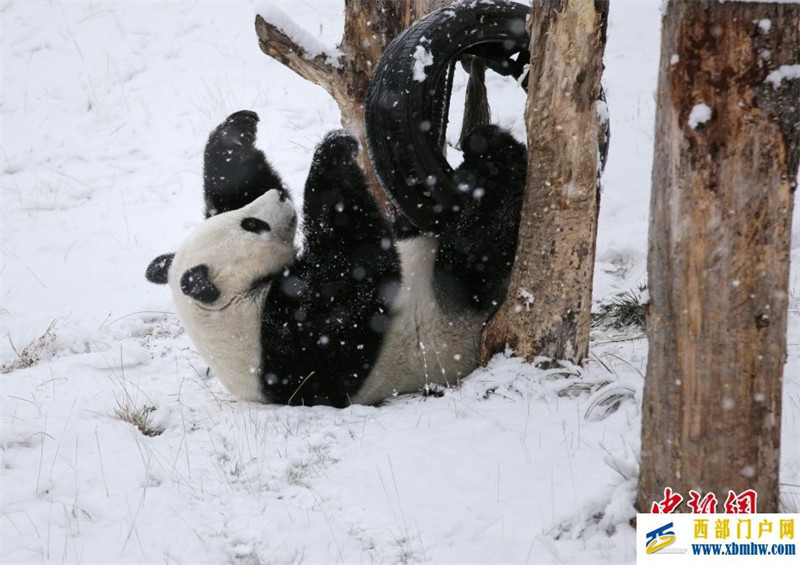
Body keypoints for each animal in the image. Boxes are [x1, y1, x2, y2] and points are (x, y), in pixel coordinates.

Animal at [147, 110, 528, 404]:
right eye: (251, 224)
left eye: (243, 215)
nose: (278, 197)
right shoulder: (290, 345)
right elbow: (357, 269)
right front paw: (334, 151)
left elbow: (234, 186)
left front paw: (236, 134)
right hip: (454, 314)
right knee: (476, 251)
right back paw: (496, 155)